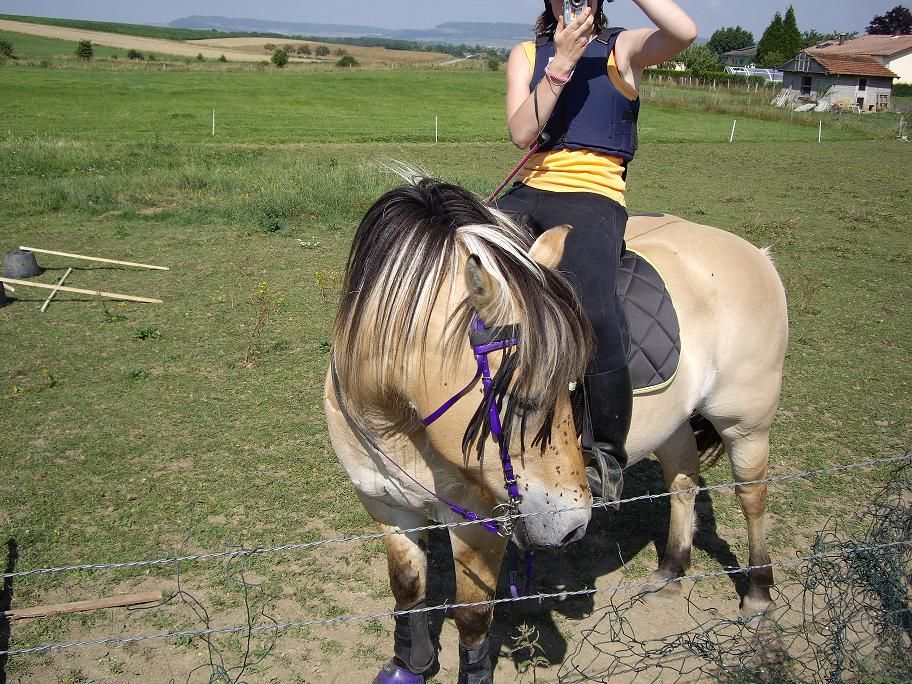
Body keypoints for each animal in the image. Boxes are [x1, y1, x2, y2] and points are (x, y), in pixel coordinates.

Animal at [324, 178, 788, 683]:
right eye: (523, 398)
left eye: (572, 382)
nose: (574, 526)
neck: (396, 423)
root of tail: (756, 254)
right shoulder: (385, 504)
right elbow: (408, 590)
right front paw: (411, 663)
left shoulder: (481, 523)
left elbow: (472, 617)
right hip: (676, 424)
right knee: (682, 479)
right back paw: (671, 570)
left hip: (746, 421)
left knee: (753, 495)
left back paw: (758, 593)